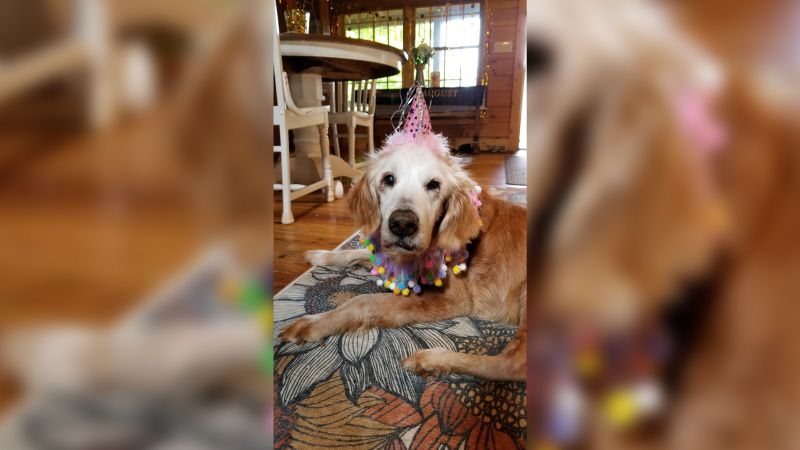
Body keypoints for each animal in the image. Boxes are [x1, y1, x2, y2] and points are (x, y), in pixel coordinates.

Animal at [278, 139, 528, 382]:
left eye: (434, 185)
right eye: (388, 179)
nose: (402, 224)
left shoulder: (455, 298)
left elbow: (365, 301)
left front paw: (315, 322)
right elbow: (356, 253)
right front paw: (320, 255)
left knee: (514, 364)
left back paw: (431, 359)